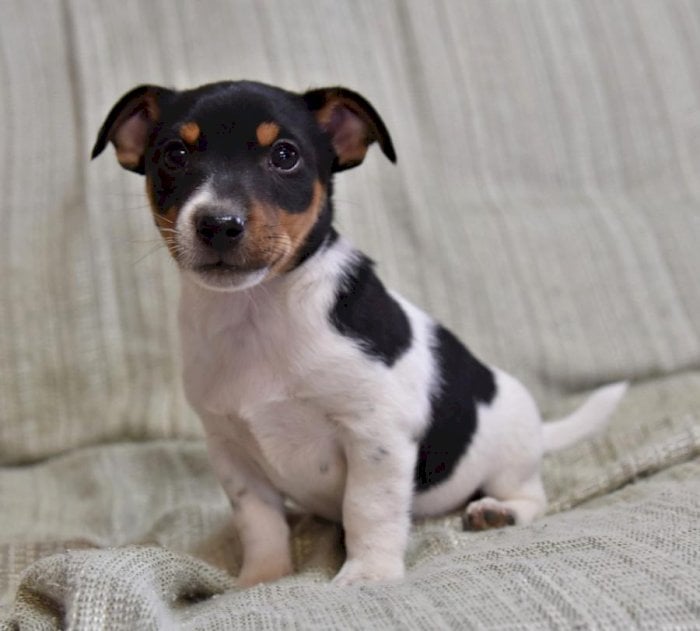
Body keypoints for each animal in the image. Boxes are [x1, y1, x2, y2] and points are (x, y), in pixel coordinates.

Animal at [91, 81, 624, 592]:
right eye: (174, 154)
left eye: (284, 154)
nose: (218, 224)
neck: (257, 312)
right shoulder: (231, 452)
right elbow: (259, 522)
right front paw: (262, 578)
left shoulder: (376, 435)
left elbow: (369, 509)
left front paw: (368, 573)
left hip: (508, 458)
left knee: (532, 496)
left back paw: (500, 511)